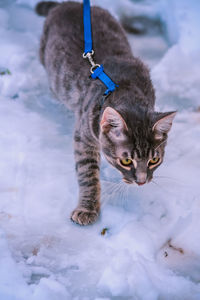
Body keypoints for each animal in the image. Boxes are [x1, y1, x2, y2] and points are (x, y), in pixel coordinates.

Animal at [35, 0, 176, 225]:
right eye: (126, 161)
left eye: (154, 160)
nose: (141, 182)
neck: (126, 90)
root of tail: (69, 4)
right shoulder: (83, 136)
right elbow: (88, 174)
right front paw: (87, 208)